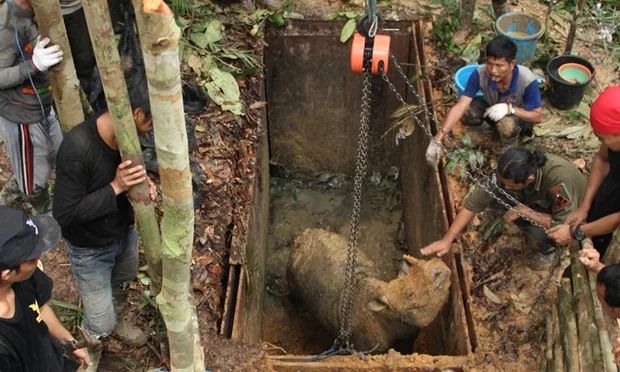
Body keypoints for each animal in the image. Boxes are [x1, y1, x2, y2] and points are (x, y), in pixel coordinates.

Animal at [286, 227, 450, 352]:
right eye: (410, 295)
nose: (440, 268)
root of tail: (301, 235)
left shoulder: (409, 333)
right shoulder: (370, 347)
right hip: (294, 262)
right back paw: (299, 311)